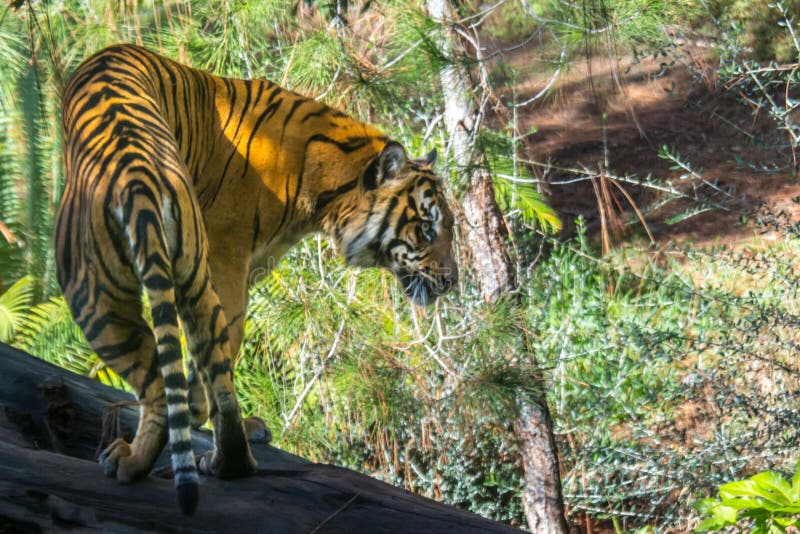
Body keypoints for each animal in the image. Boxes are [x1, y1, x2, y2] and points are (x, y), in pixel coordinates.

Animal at [54, 45, 456, 516]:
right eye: (427, 228)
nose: (452, 281)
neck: (323, 189)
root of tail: (138, 176)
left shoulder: (230, 266)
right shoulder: (230, 263)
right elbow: (210, 367)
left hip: (92, 292)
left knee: (160, 385)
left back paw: (135, 461)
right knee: (205, 365)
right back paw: (224, 459)